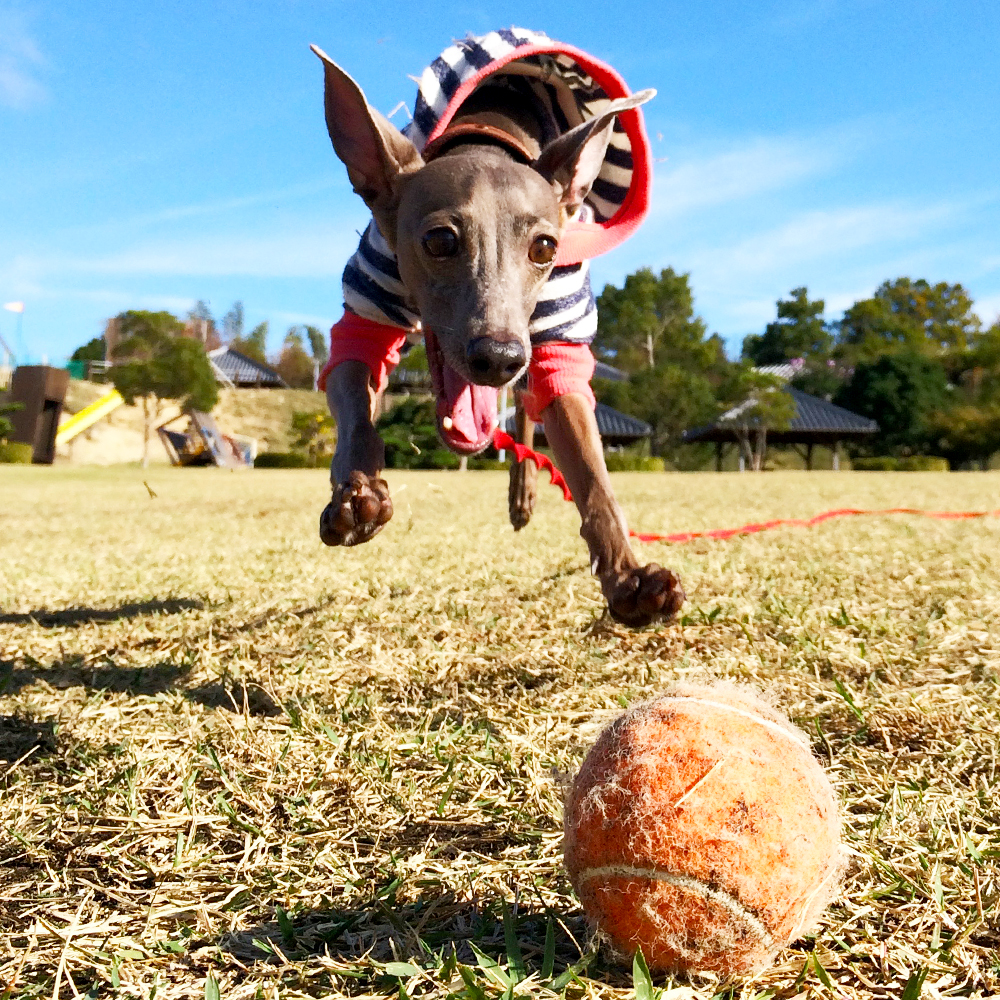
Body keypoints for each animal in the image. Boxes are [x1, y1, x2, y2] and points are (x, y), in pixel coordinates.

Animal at [314, 29, 688, 624]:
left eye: (544, 247)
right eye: (439, 240)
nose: (499, 357)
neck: (488, 135)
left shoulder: (558, 327)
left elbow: (591, 472)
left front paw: (629, 576)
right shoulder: (370, 299)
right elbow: (357, 415)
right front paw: (357, 495)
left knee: (532, 409)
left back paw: (524, 493)